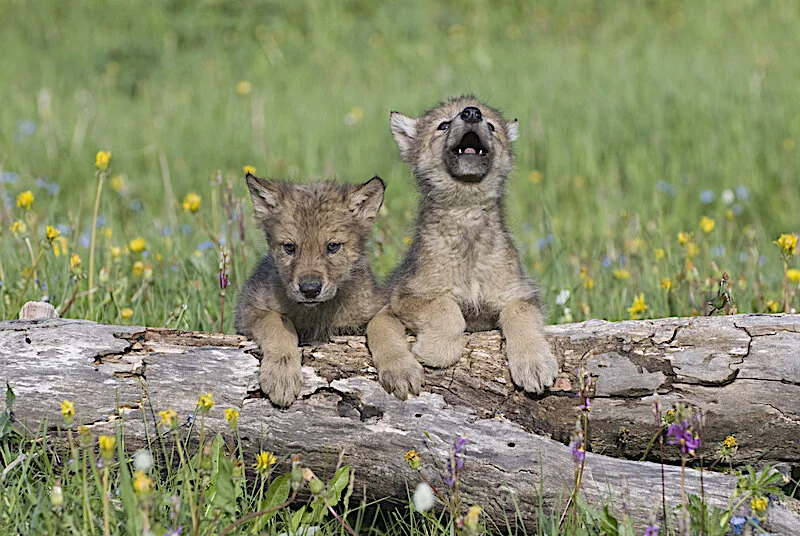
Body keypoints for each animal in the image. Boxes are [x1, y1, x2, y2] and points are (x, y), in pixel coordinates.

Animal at [235, 173, 386, 407]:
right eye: (290, 247)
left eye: (333, 246)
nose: (310, 289)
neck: (317, 313)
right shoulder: (248, 308)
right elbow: (276, 321)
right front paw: (282, 375)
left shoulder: (375, 306)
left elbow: (383, 323)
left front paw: (402, 370)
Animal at [366, 96, 559, 399]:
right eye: (443, 125)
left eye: (491, 125)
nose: (471, 113)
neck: (467, 217)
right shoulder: (409, 296)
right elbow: (446, 308)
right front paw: (436, 352)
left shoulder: (519, 294)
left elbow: (521, 316)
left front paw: (535, 364)